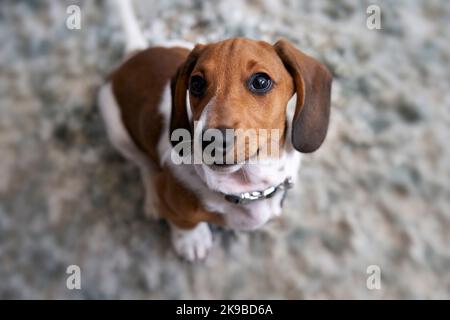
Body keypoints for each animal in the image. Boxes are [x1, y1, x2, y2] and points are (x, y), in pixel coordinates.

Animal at [98, 0, 330, 260]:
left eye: (261, 81)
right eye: (196, 83)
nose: (213, 140)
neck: (245, 185)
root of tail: (136, 54)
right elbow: (183, 221)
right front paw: (191, 239)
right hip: (118, 132)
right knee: (144, 166)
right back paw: (152, 199)